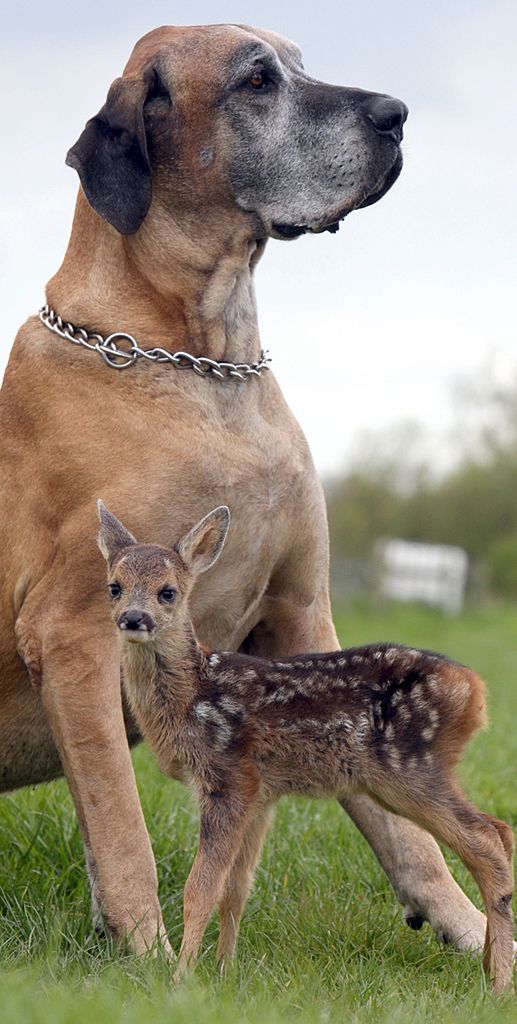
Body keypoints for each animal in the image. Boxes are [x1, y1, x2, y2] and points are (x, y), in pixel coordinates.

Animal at [2, 24, 487, 958]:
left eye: (299, 63)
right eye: (256, 81)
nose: (396, 113)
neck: (204, 361)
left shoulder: (298, 613)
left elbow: (402, 832)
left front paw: (475, 932)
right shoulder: (75, 633)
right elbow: (121, 826)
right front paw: (153, 960)